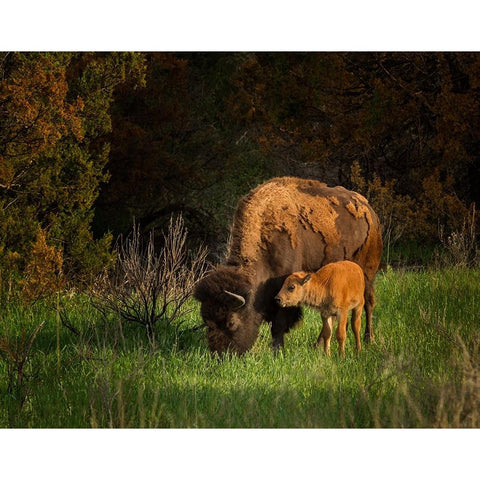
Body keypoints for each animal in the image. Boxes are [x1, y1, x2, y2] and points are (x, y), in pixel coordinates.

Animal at [193, 176, 380, 352]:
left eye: (231, 322)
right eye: (207, 321)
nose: (221, 354)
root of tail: (370, 210)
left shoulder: (284, 290)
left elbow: (279, 323)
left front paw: (278, 350)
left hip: (368, 273)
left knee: (369, 303)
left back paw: (369, 339)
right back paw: (318, 345)